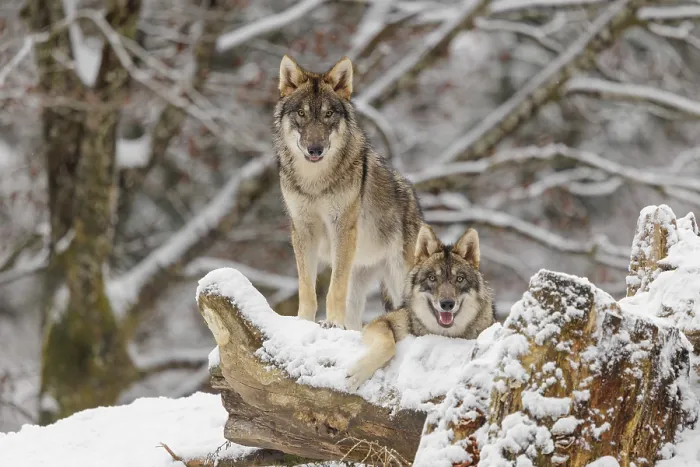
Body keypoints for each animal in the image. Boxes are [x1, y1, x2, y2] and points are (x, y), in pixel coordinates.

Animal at [273, 55, 423, 331]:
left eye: (328, 114)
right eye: (301, 113)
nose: (315, 149)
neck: (315, 182)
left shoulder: (341, 228)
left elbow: (335, 288)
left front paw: (332, 323)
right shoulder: (302, 230)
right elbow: (306, 287)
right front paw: (303, 322)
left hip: (398, 277)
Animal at [346, 225, 496, 391]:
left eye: (459, 279)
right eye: (432, 278)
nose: (447, 304)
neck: (443, 333)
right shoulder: (382, 321)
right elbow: (388, 344)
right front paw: (357, 373)